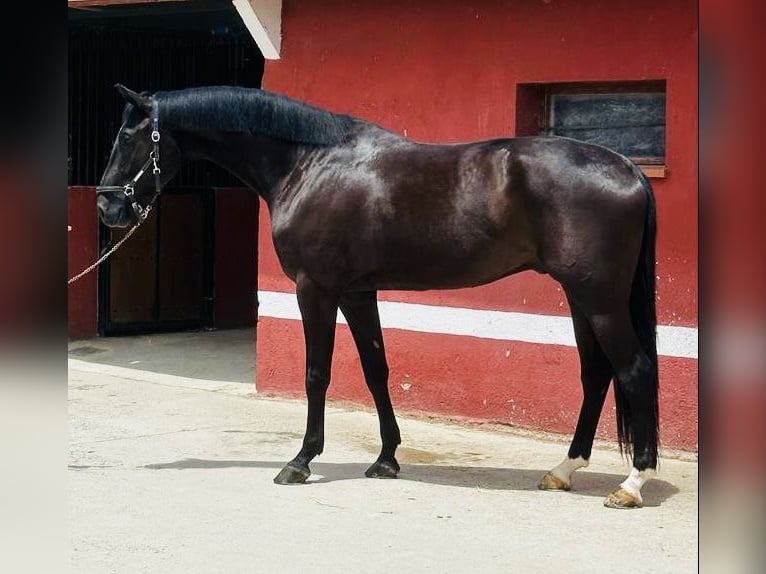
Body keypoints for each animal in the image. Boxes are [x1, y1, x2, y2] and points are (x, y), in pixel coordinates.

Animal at [96, 84, 660, 508]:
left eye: (129, 137)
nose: (107, 208)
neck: (308, 163)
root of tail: (628, 167)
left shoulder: (315, 288)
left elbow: (317, 374)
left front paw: (300, 461)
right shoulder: (358, 291)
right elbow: (376, 369)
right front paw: (387, 458)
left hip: (600, 299)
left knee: (633, 370)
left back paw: (632, 483)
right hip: (580, 298)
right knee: (596, 374)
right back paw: (564, 469)